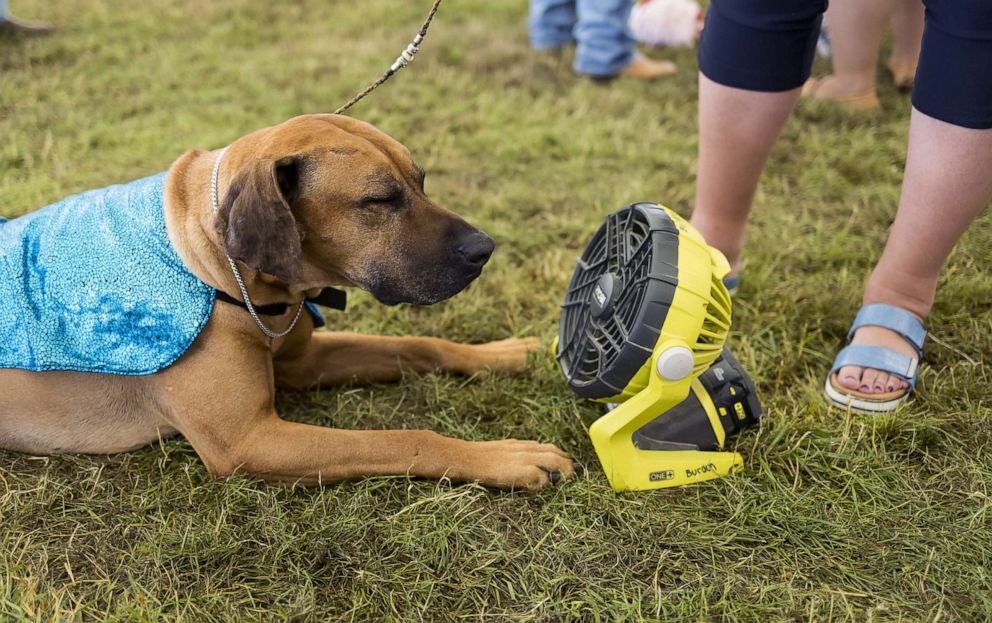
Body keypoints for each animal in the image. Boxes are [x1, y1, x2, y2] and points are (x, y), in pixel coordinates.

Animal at [0, 114, 572, 490]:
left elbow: (418, 344)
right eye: (379, 200)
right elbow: (403, 438)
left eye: (421, 181)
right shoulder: (249, 440)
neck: (227, 269)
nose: (485, 249)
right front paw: (506, 457)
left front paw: (500, 354)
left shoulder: (303, 359)